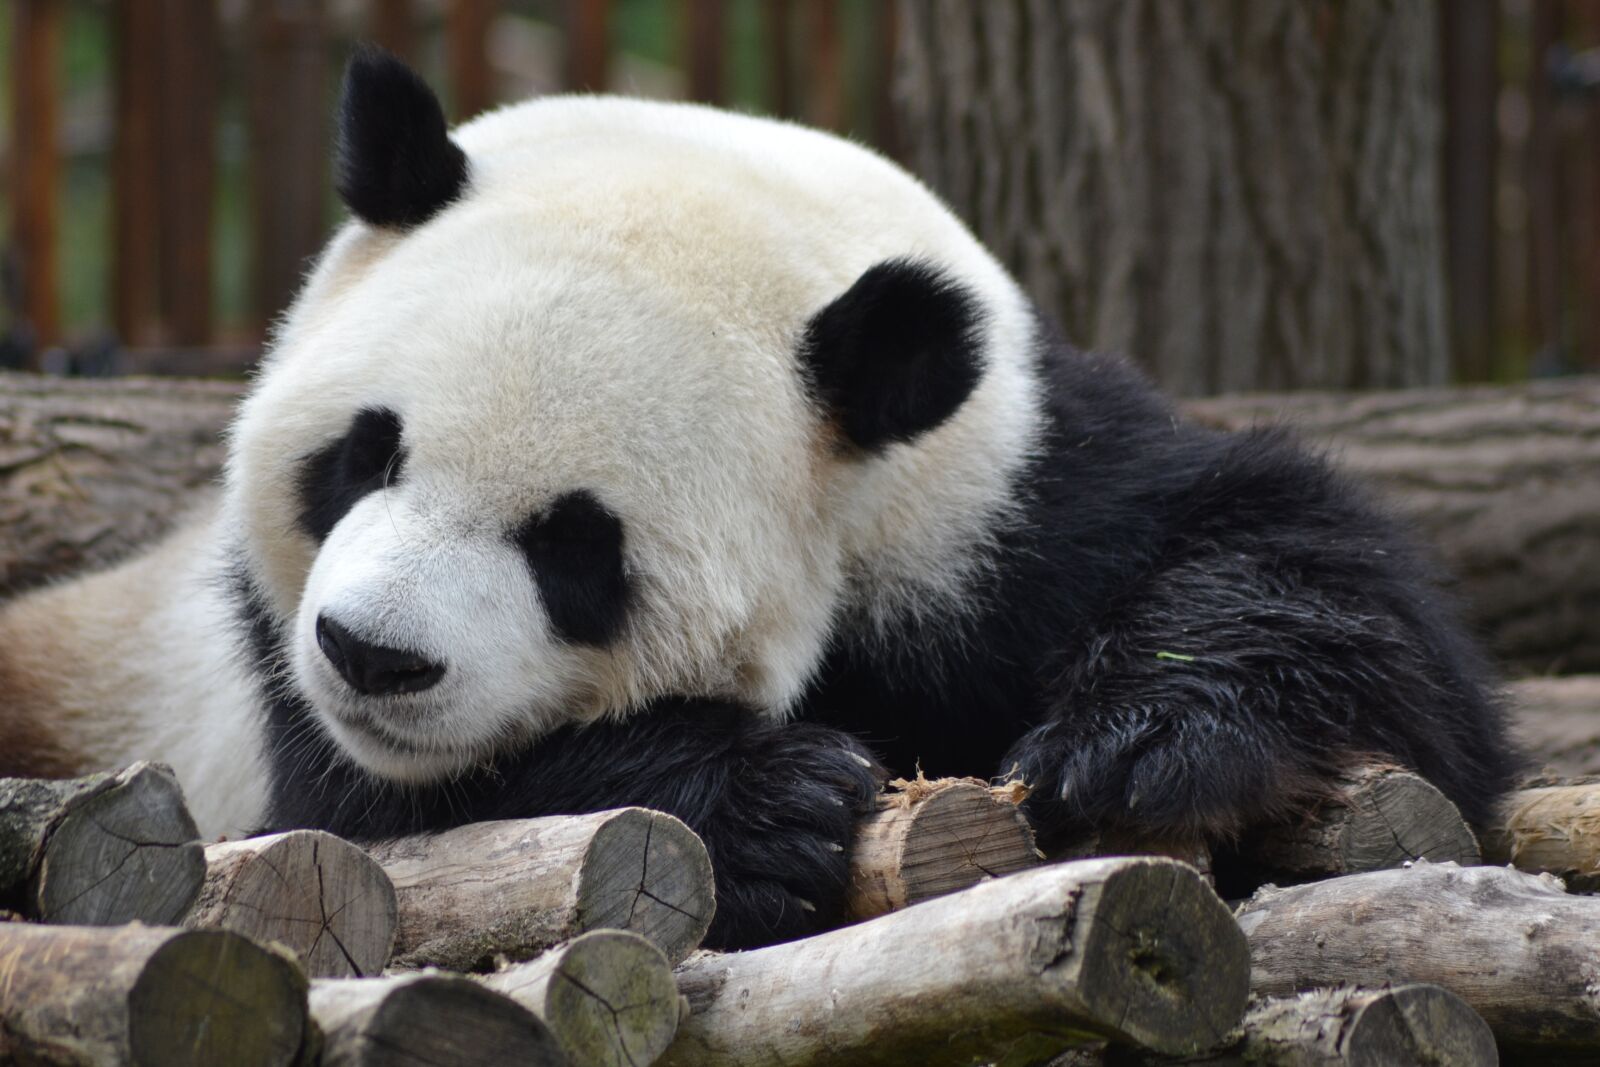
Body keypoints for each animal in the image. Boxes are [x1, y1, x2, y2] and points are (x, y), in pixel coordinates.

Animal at [0, 48, 1518, 948]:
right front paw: (773, 799)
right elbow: (381, 822)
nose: (373, 655)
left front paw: (1145, 737)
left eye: (576, 545)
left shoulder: (1006, 494)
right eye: (364, 455)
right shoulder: (267, 699)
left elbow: (1346, 607)